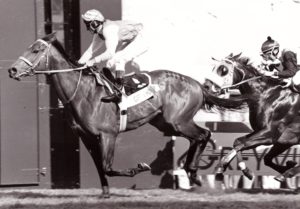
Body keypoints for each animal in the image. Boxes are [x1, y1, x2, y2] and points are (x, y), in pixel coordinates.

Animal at [8, 33, 247, 198]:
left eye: (36, 50)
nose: (12, 70)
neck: (83, 93)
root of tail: (197, 84)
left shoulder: (108, 134)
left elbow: (108, 166)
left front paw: (139, 168)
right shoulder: (87, 137)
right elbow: (100, 166)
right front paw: (105, 193)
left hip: (178, 121)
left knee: (204, 135)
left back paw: (194, 173)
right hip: (166, 124)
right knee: (196, 138)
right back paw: (191, 172)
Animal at [205, 53, 300, 181]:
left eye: (223, 69)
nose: (206, 86)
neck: (266, 95)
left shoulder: (270, 134)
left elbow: (241, 143)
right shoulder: (283, 140)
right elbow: (239, 143)